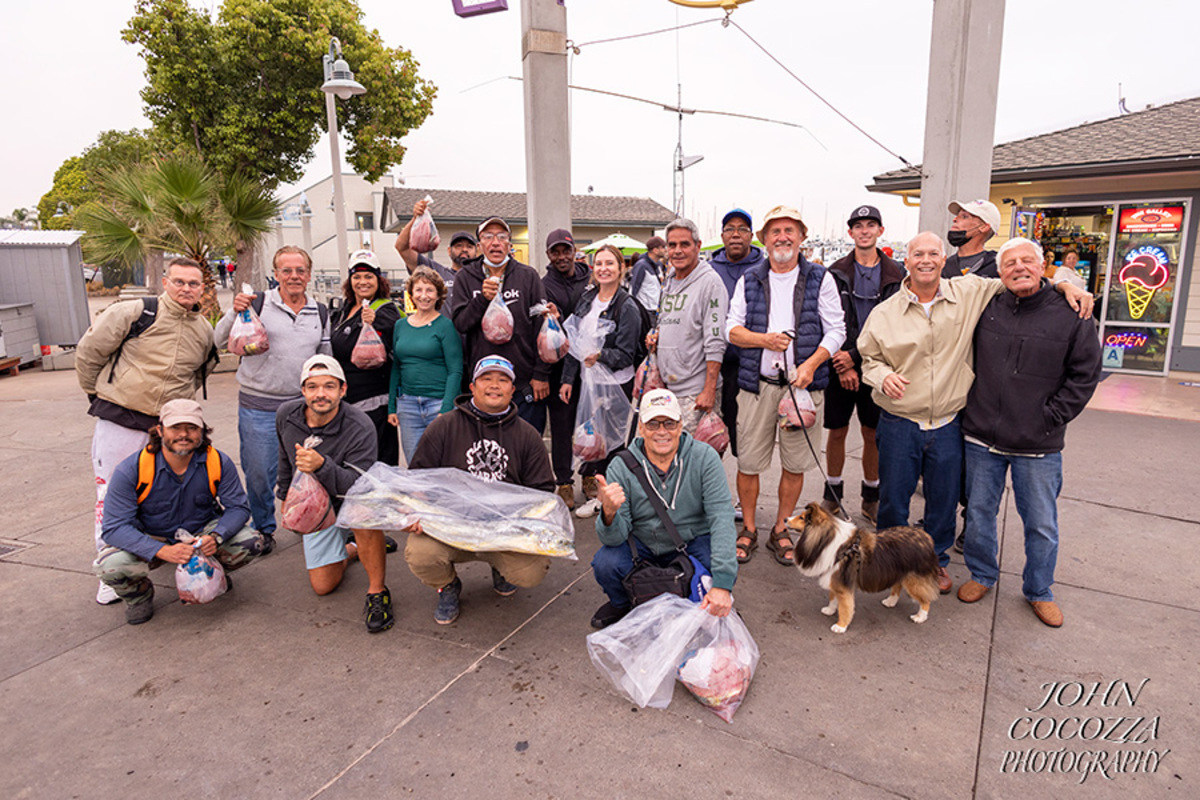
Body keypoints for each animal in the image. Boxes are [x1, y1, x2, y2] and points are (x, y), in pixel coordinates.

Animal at [782, 503, 940, 633]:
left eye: (802, 518)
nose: (784, 519)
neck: (826, 540)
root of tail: (927, 538)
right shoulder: (835, 578)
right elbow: (833, 598)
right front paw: (829, 610)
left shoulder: (843, 585)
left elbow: (845, 607)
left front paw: (840, 626)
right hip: (899, 572)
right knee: (897, 586)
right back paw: (890, 601)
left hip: (914, 580)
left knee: (926, 599)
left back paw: (920, 617)